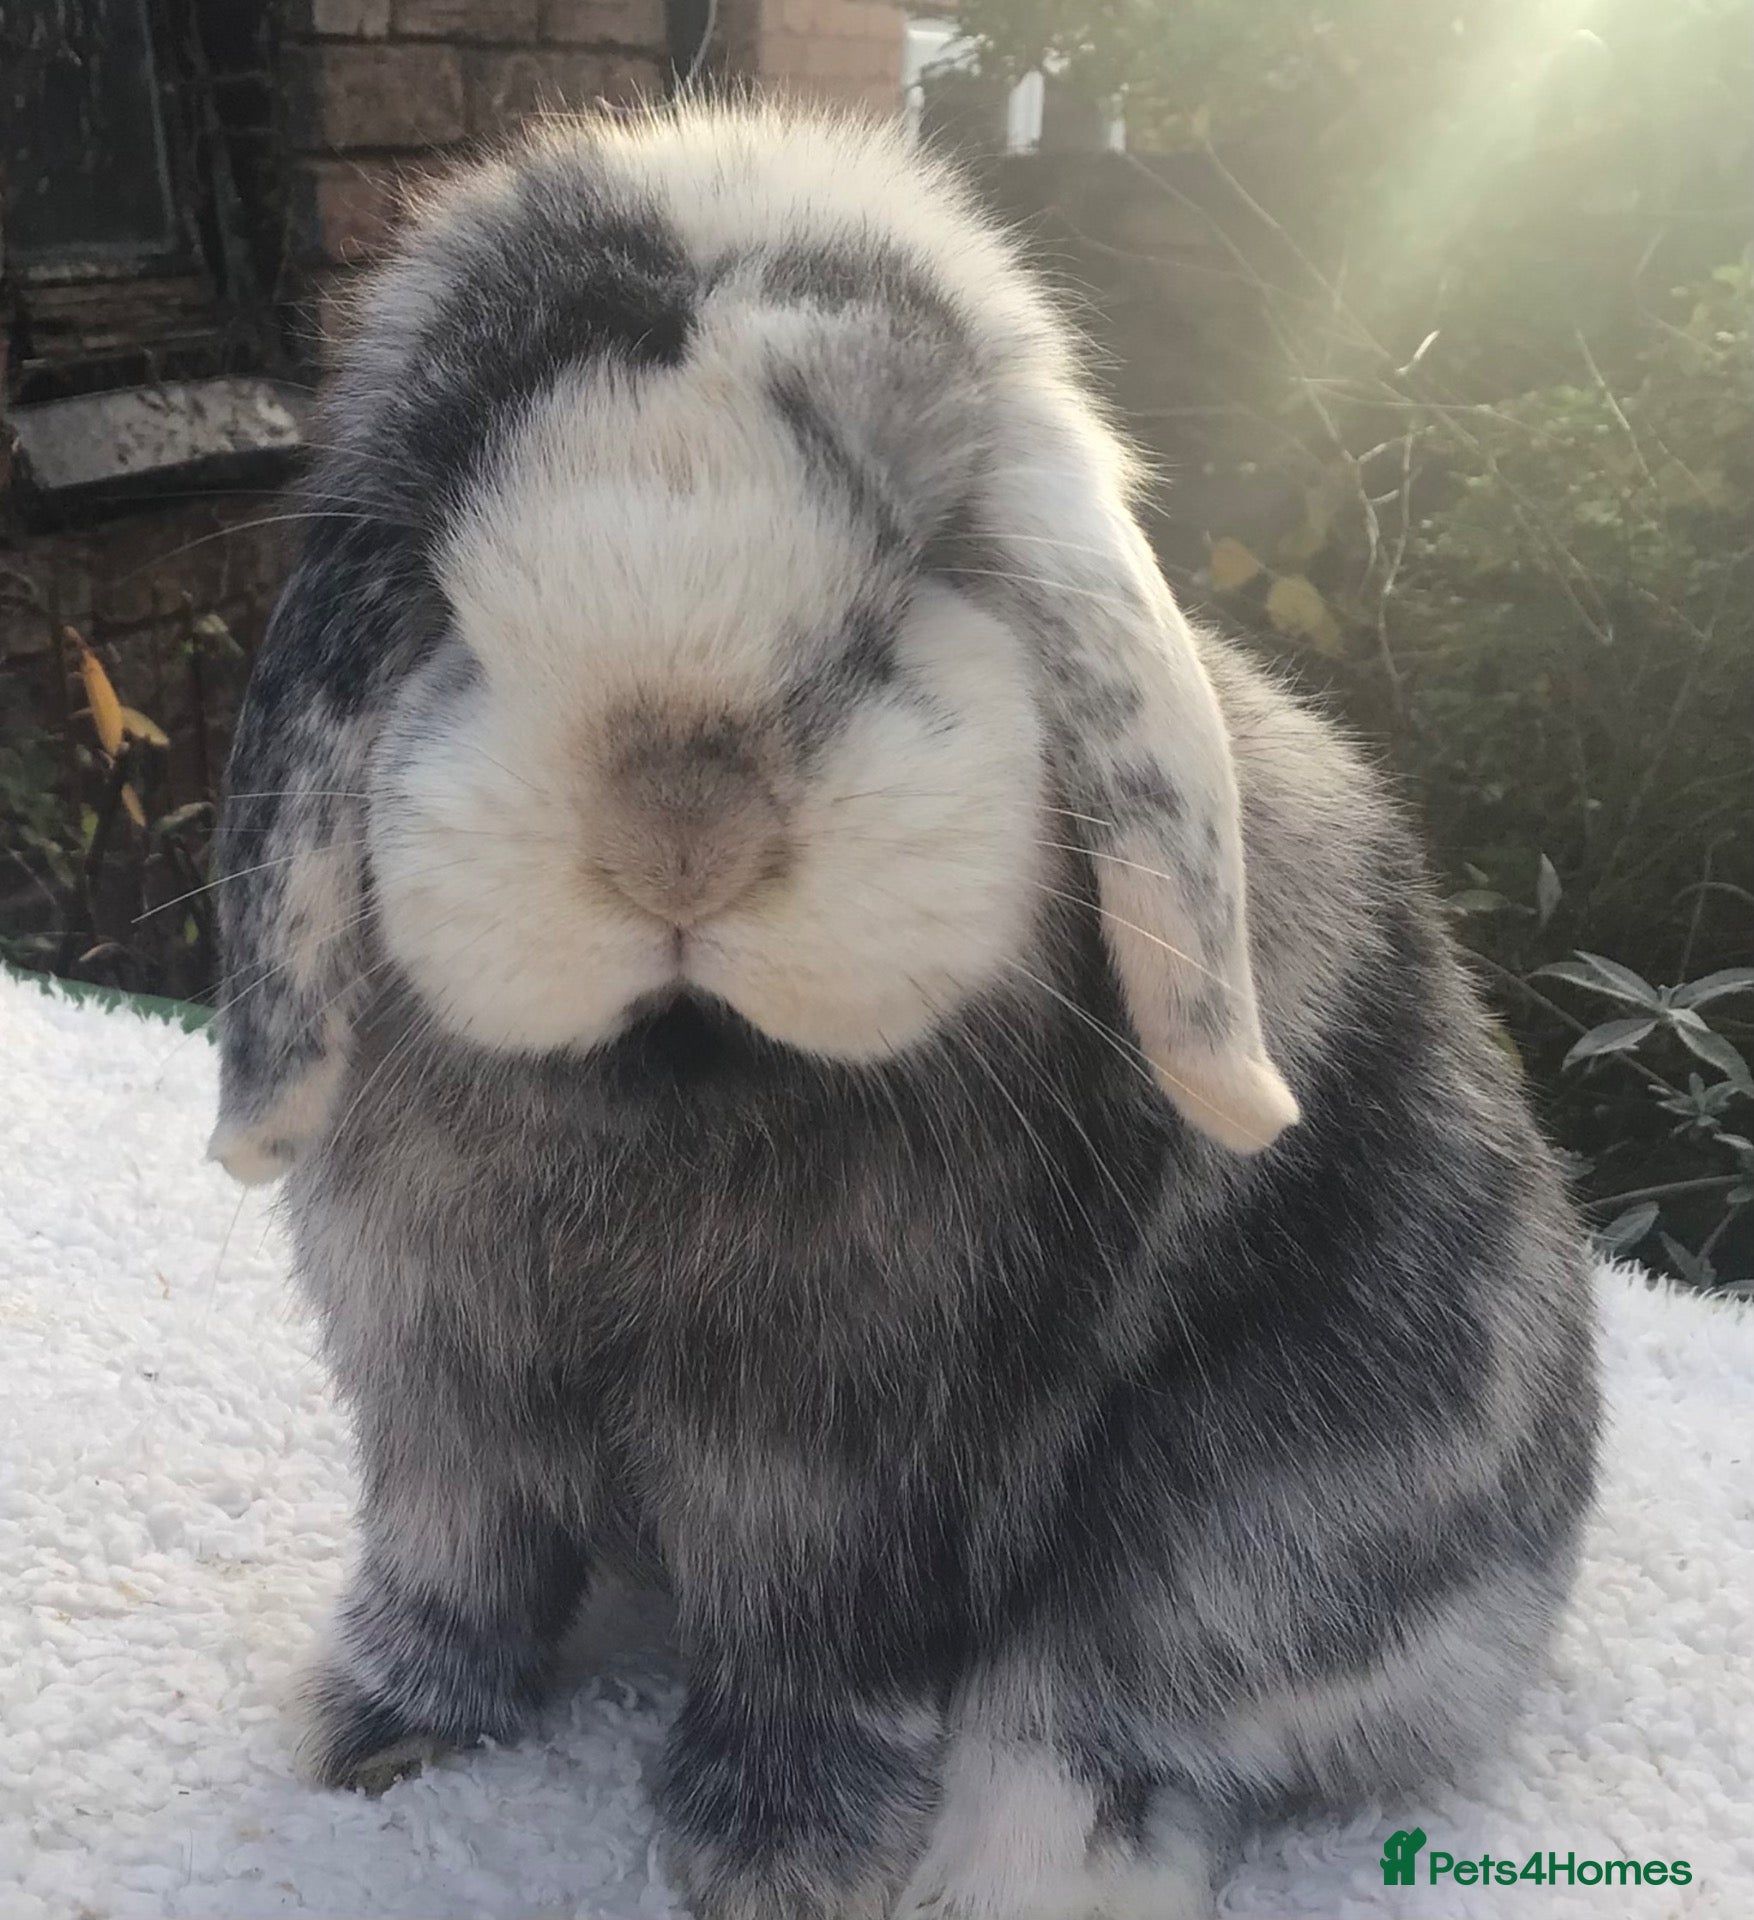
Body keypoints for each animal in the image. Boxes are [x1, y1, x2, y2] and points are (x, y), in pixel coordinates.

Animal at [208, 103, 1598, 1920]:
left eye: (921, 572)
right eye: (441, 588)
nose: (678, 836)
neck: (677, 1088)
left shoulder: (850, 1464)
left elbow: (815, 1649)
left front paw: (774, 1861)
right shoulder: (442, 1389)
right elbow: (454, 1561)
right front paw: (368, 1730)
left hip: (1270, 1517)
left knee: (1119, 1718)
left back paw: (994, 1870)